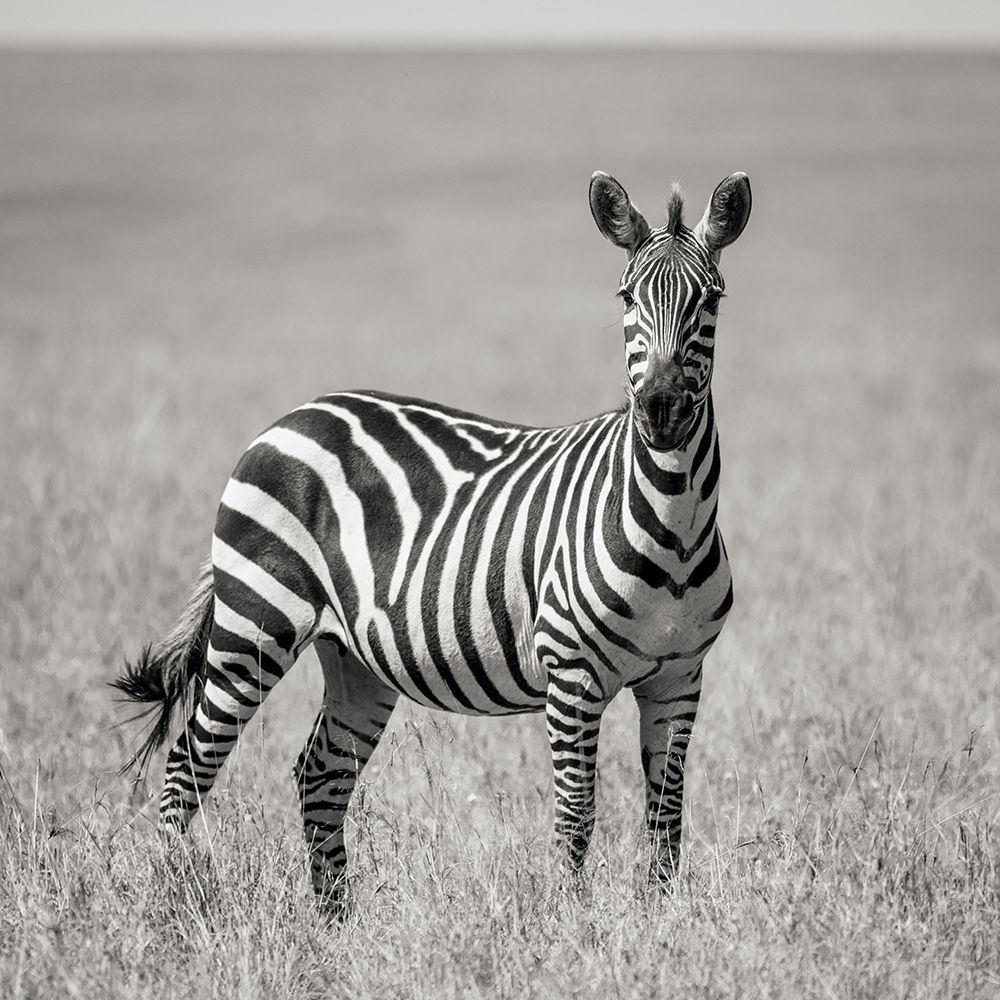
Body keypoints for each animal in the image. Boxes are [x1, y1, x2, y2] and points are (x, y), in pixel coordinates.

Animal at [114, 170, 751, 907]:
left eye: (711, 299)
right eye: (626, 298)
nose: (661, 410)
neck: (672, 528)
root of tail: (290, 417)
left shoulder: (679, 678)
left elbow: (666, 816)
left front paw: (658, 915)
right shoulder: (571, 672)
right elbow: (576, 810)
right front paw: (572, 921)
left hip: (354, 661)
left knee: (319, 775)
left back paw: (337, 921)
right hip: (254, 626)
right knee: (187, 766)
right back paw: (176, 902)